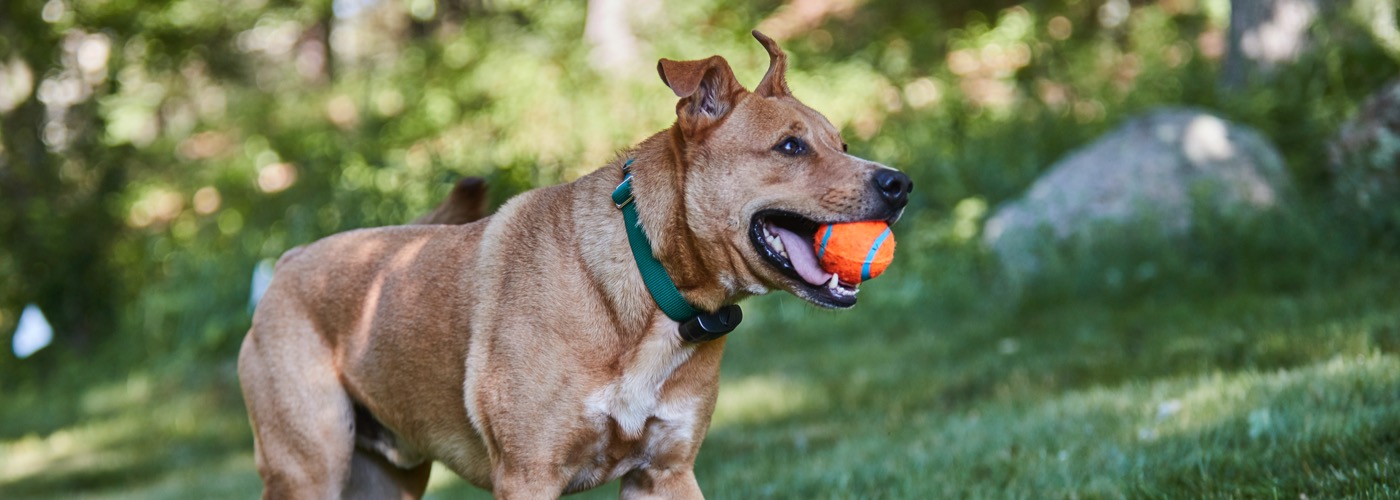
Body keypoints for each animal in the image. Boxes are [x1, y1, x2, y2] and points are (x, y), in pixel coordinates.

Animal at [238, 30, 918, 495]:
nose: (900, 184)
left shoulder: (666, 473)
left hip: (386, 478)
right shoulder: (529, 474)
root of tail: (289, 263)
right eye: (790, 147)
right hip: (310, 470)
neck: (649, 291)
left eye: (842, 144)